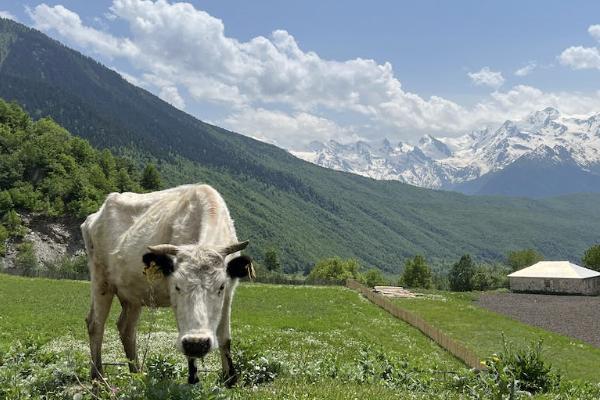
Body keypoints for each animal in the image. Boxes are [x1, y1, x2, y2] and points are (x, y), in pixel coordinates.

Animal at [79, 184, 253, 384]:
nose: (197, 344)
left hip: (132, 295)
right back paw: (98, 379)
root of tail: (94, 217)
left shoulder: (230, 293)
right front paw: (193, 379)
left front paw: (230, 379)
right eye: (177, 286)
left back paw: (137, 374)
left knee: (126, 328)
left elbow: (225, 338)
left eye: (221, 287)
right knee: (95, 324)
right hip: (101, 280)